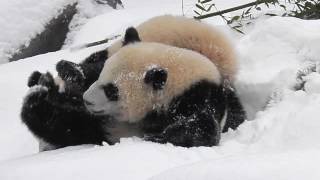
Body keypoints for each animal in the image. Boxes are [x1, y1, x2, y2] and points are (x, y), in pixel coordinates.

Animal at [82, 35, 245, 147]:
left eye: (111, 91)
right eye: (100, 75)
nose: (86, 100)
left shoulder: (198, 98)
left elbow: (202, 130)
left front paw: (154, 138)